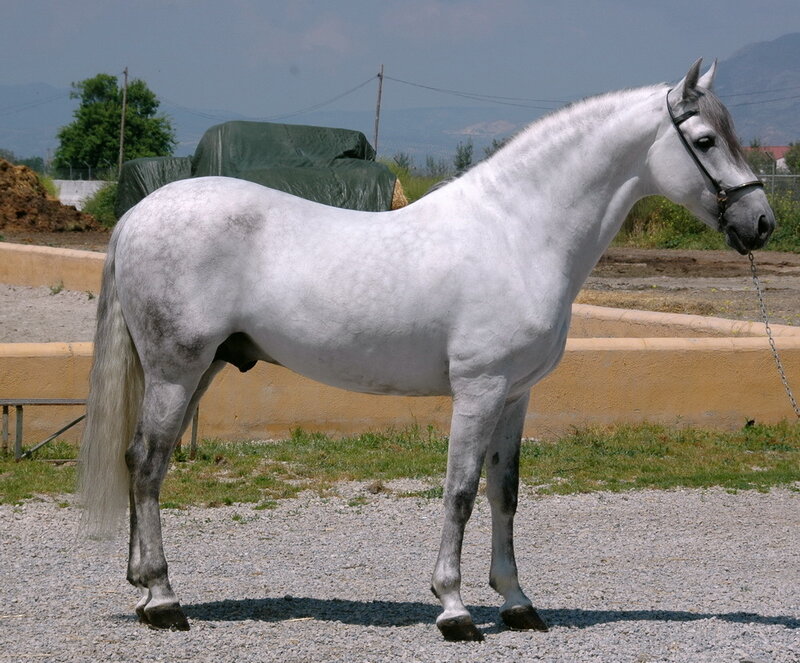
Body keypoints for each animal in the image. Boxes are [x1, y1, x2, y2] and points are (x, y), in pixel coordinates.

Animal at [79, 60, 774, 641]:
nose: (762, 223)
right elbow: (460, 491)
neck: (517, 232)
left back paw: (143, 590)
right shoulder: (479, 389)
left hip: (198, 370)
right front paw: (455, 609)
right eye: (705, 141)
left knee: (144, 460)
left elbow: (504, 493)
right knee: (147, 464)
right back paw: (165, 602)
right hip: (177, 371)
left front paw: (517, 603)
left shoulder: (516, 395)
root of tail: (138, 214)